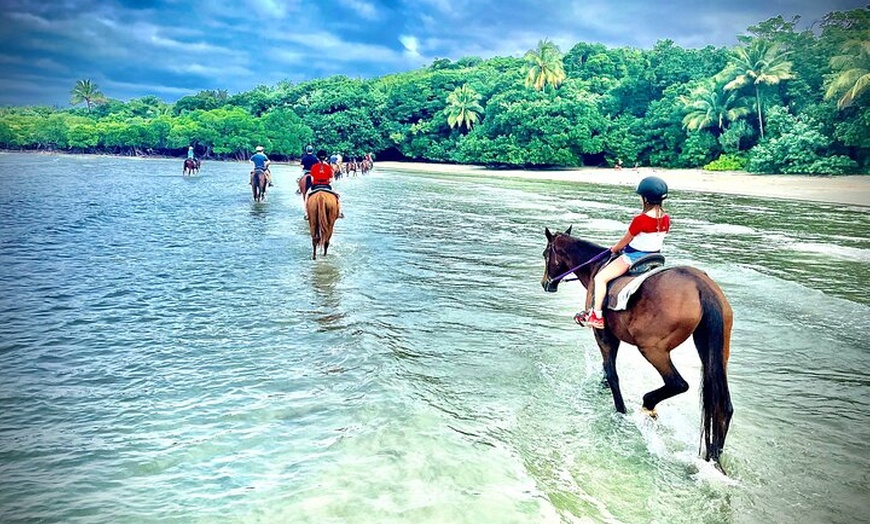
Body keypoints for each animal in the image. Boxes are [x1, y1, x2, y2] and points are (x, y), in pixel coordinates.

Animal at [540, 225, 736, 470]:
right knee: (723, 407)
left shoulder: (604, 335)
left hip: (652, 349)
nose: (546, 283)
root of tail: (701, 287)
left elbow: (612, 373)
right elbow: (607, 371)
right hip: (716, 351)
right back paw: (715, 457)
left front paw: (620, 410)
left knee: (678, 383)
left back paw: (648, 404)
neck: (595, 268)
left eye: (546, 255)